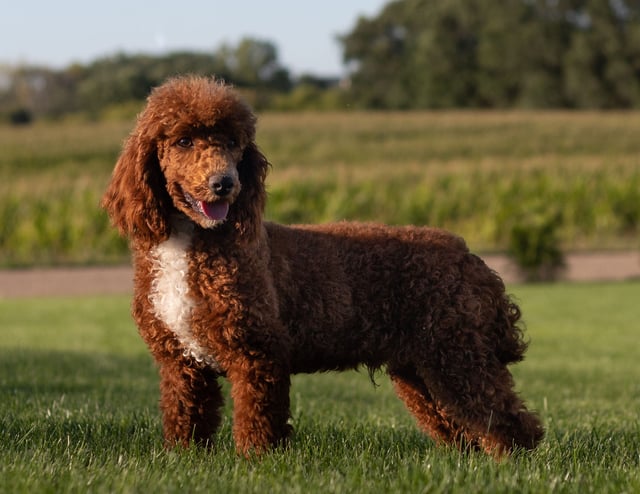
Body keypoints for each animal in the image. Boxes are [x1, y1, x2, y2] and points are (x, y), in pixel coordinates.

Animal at [102, 75, 544, 458]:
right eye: (183, 140)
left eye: (232, 142)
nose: (224, 183)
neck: (195, 245)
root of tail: (471, 259)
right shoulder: (182, 364)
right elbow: (186, 420)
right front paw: (183, 458)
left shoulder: (257, 353)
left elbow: (257, 424)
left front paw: (254, 462)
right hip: (421, 368)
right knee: (459, 427)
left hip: (457, 355)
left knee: (508, 420)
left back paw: (510, 463)